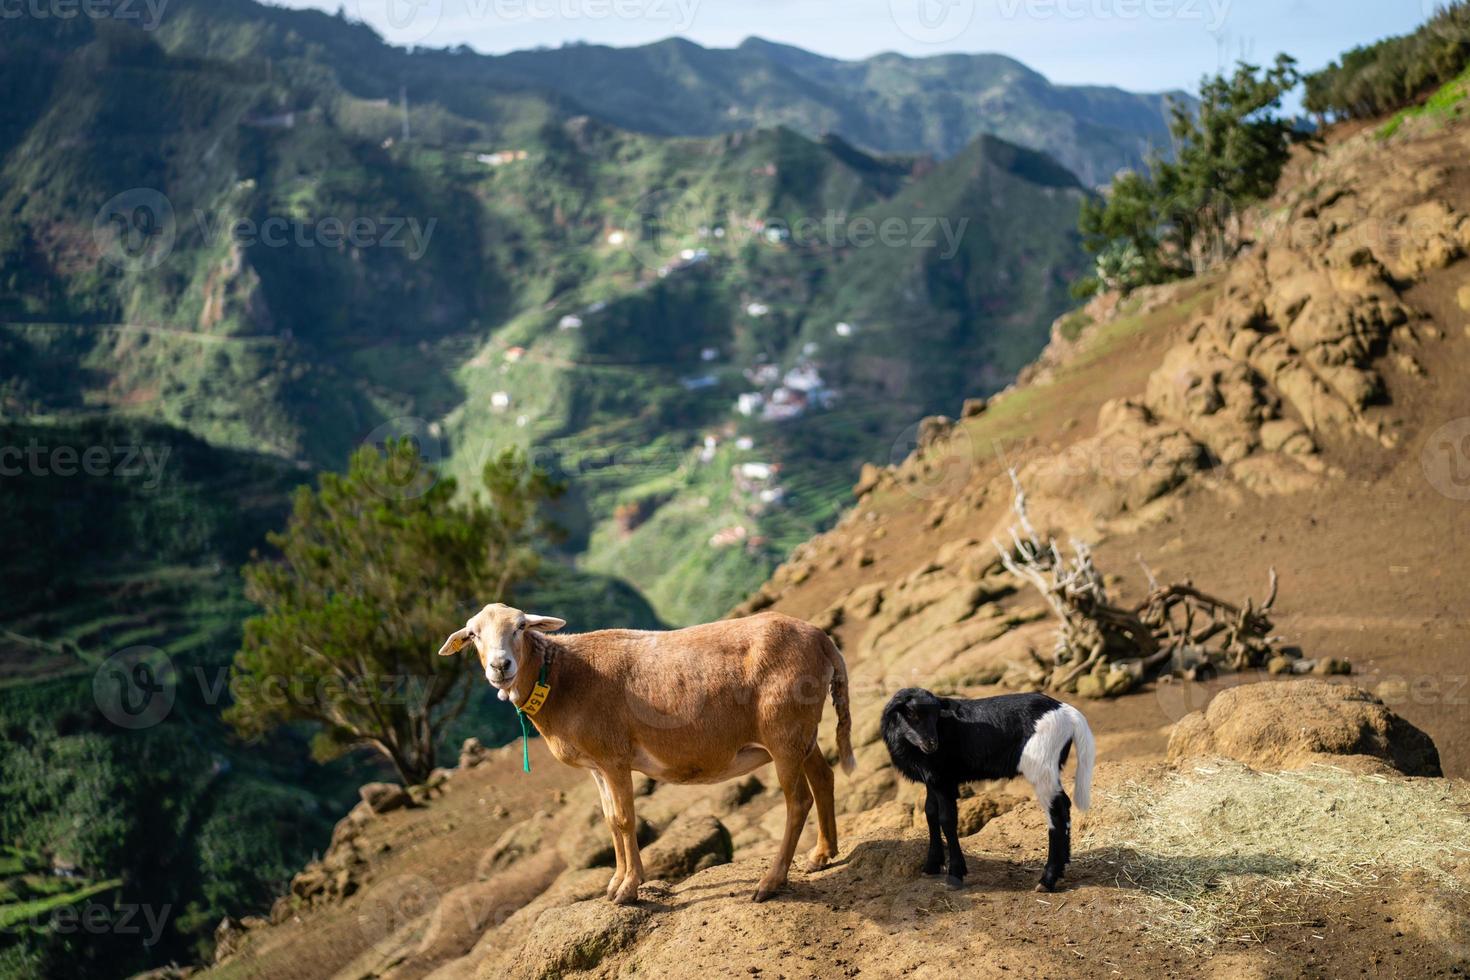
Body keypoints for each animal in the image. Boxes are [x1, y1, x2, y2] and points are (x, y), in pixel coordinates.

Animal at [438, 605, 852, 905]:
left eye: (521, 626)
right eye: (473, 634)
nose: (500, 666)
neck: (560, 679)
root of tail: (821, 639)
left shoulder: (614, 757)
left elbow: (624, 820)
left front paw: (628, 889)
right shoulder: (596, 766)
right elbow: (609, 821)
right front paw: (614, 883)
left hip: (783, 729)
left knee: (798, 800)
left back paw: (771, 881)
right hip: (800, 733)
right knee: (823, 777)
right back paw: (822, 854)